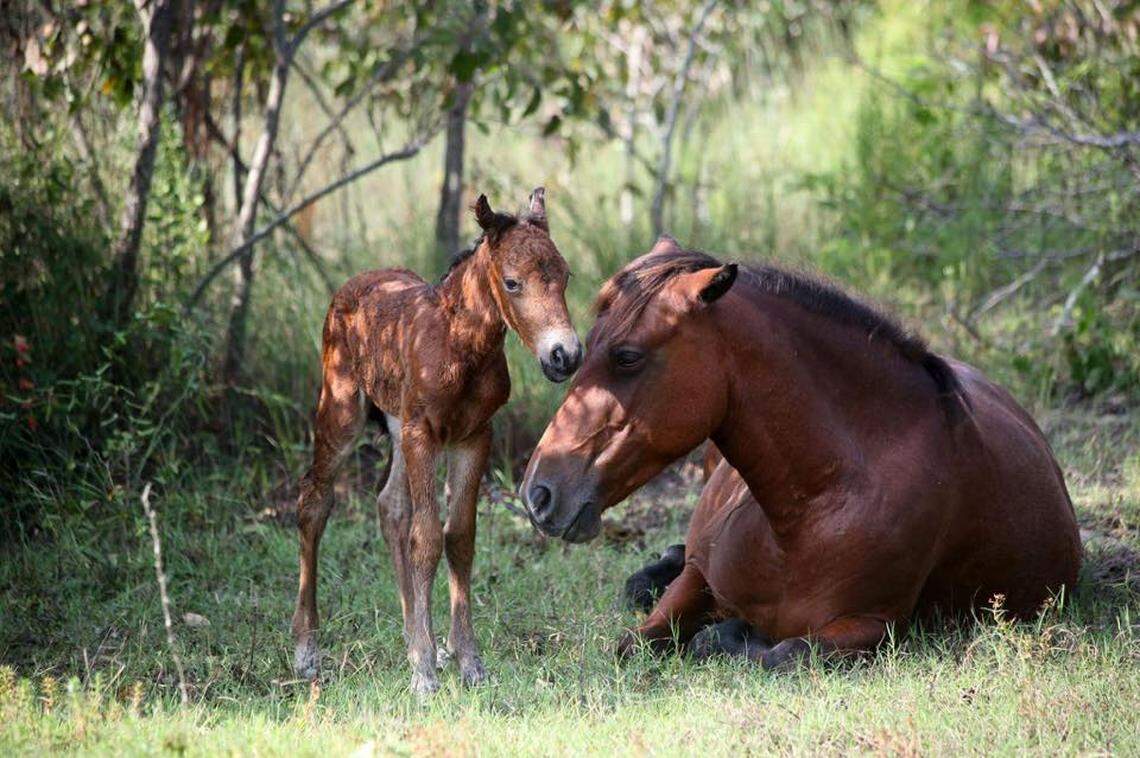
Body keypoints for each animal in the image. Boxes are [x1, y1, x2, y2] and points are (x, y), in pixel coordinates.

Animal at [291, 188, 582, 695]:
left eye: (564, 276)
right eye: (512, 283)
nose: (564, 355)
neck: (460, 347)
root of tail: (352, 285)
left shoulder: (474, 436)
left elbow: (459, 537)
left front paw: (465, 660)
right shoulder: (423, 434)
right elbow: (426, 539)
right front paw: (425, 673)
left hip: (396, 423)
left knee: (390, 505)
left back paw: (412, 637)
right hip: (343, 408)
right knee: (315, 500)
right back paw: (307, 650)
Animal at [520, 236, 1080, 669]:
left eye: (627, 357)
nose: (538, 493)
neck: (810, 510)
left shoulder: (872, 626)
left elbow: (781, 652)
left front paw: (728, 633)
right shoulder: (701, 576)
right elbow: (636, 641)